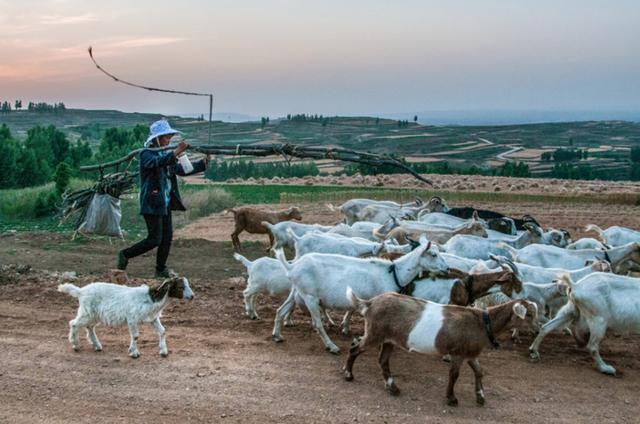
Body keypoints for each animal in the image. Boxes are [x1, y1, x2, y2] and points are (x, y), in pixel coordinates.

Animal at [342, 290, 536, 406]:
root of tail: (370, 303)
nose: (537, 330)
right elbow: (454, 374)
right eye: (529, 314)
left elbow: (479, 372)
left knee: (382, 360)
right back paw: (348, 375)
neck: (483, 322)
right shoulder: (458, 353)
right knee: (355, 349)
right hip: (375, 334)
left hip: (390, 340)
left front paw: (480, 396)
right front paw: (451, 398)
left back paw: (392, 388)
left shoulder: (470, 353)